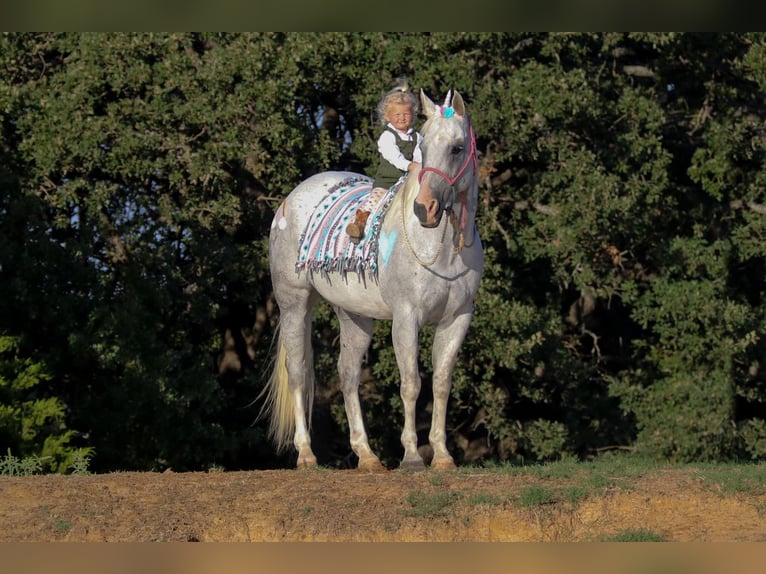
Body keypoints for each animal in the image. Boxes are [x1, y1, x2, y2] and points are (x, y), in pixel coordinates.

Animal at [260, 88, 484, 470]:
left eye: (456, 148)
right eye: (423, 146)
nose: (424, 209)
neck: (441, 248)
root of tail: (292, 198)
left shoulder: (458, 318)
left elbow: (441, 382)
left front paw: (442, 455)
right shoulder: (407, 318)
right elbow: (411, 382)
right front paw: (412, 457)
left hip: (355, 316)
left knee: (348, 373)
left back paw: (366, 455)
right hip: (294, 304)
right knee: (299, 370)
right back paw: (306, 454)